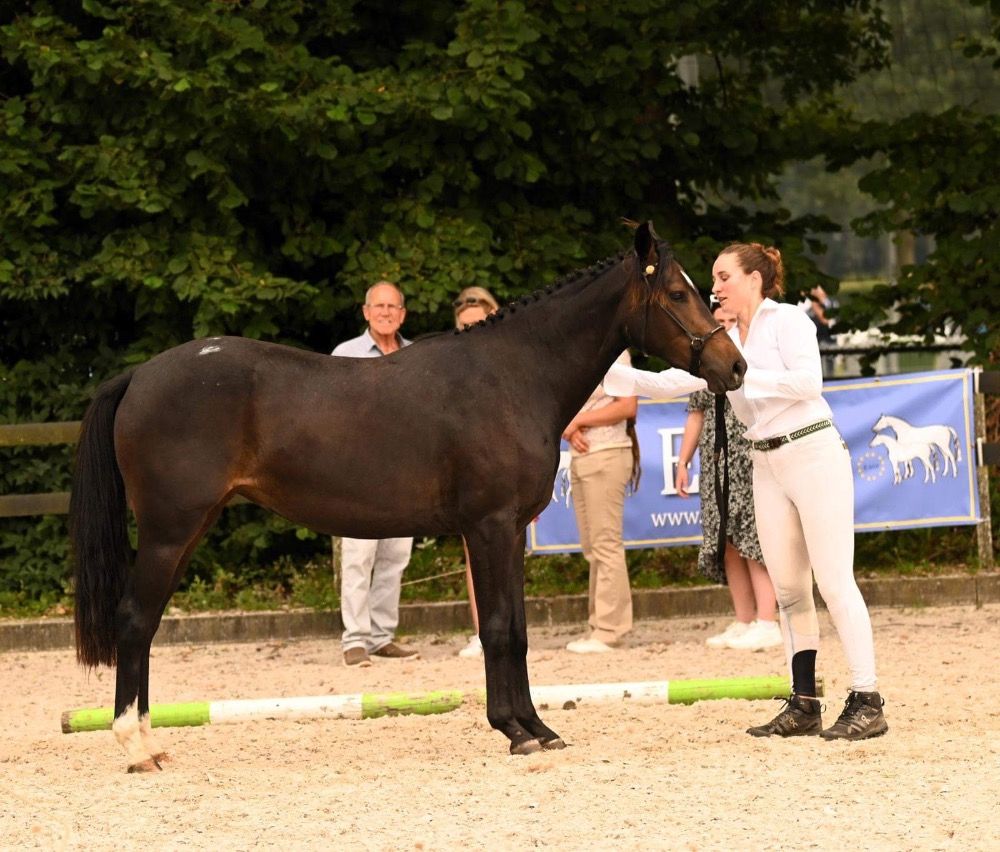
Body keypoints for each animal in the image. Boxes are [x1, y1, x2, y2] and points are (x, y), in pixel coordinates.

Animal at [69, 221, 746, 772]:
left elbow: (518, 629)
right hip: (169, 530)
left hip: (188, 528)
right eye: (679, 294)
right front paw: (515, 731)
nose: (734, 366)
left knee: (148, 624)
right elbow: (497, 627)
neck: (515, 374)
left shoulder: (506, 535)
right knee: (134, 620)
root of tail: (140, 375)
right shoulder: (488, 527)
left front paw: (534, 726)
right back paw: (135, 746)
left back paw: (152, 741)